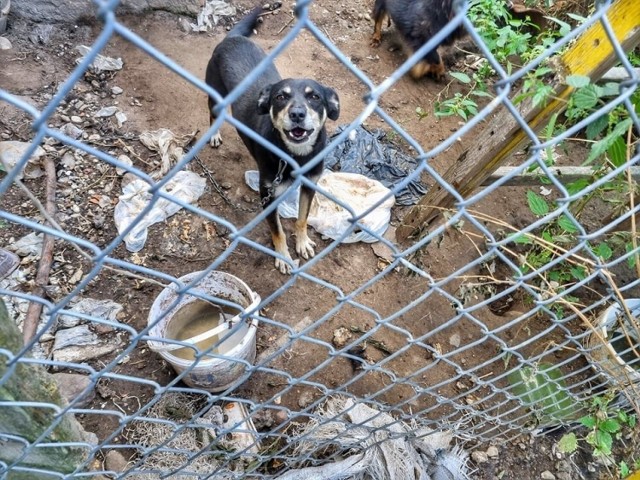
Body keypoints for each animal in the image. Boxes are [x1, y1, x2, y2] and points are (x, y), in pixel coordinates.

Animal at [208, 6, 342, 274]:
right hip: (214, 95)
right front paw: (283, 257)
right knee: (212, 115)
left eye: (315, 97)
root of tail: (231, 38)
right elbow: (278, 230)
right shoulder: (267, 195)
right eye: (280, 97)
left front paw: (302, 243)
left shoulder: (309, 185)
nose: (297, 114)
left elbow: (302, 219)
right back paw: (214, 134)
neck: (295, 156)